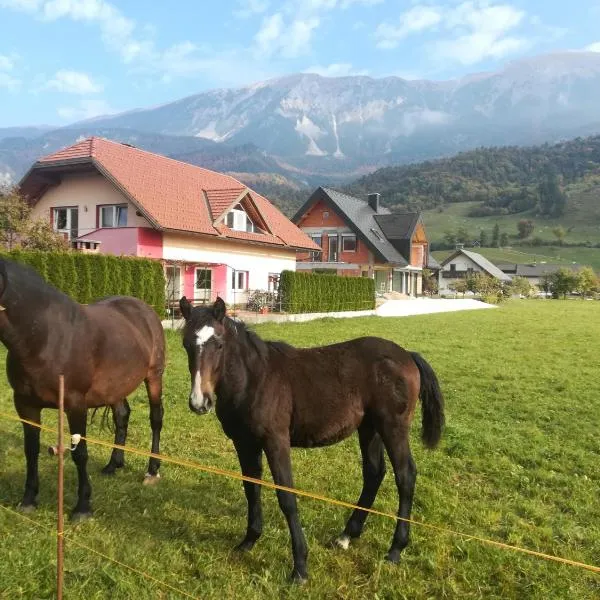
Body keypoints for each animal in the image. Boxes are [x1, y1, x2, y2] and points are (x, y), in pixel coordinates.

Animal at [0, 258, 165, 520]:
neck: (43, 336)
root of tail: (144, 309)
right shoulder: (25, 404)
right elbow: (31, 450)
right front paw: (28, 499)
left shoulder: (75, 405)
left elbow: (80, 453)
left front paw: (82, 507)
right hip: (115, 387)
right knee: (122, 416)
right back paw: (113, 464)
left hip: (154, 377)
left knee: (156, 419)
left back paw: (152, 470)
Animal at [180, 298, 442, 584]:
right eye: (186, 344)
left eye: (218, 344)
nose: (199, 402)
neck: (254, 380)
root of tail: (407, 355)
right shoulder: (244, 443)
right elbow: (252, 489)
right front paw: (249, 541)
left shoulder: (276, 441)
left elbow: (287, 498)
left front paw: (300, 567)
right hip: (369, 428)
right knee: (374, 473)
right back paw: (346, 536)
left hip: (392, 427)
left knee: (405, 475)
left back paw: (395, 549)